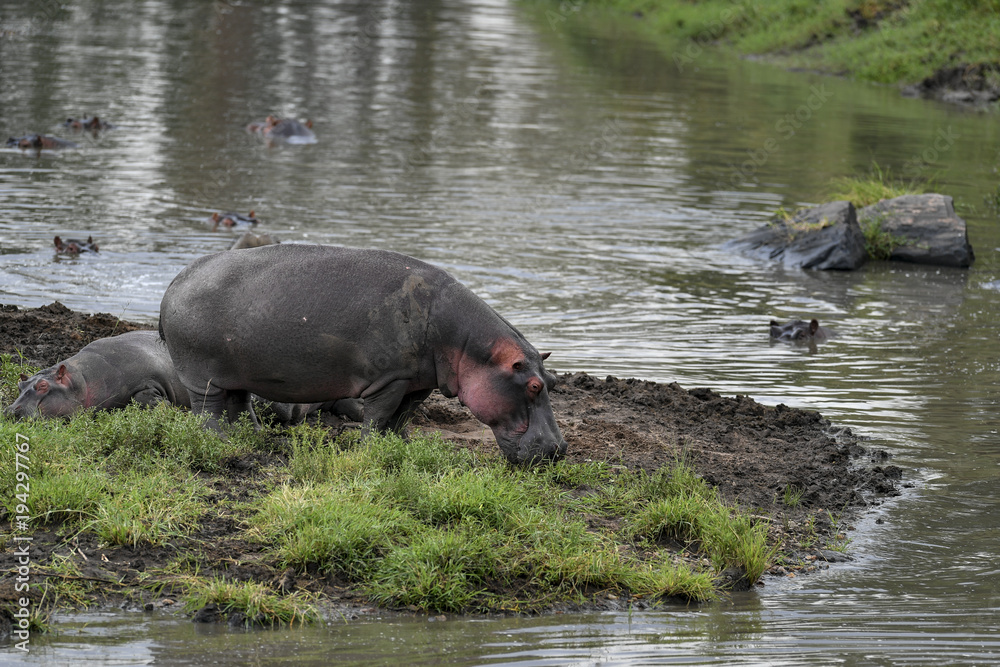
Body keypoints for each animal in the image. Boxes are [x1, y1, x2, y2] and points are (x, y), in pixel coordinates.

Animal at [159, 244, 567, 464]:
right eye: (533, 386)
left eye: (550, 380)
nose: (560, 449)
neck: (467, 344)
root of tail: (174, 282)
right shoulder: (388, 379)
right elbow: (380, 415)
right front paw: (370, 447)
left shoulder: (417, 381)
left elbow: (404, 416)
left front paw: (403, 446)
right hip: (202, 374)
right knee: (207, 409)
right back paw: (221, 441)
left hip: (239, 370)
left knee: (240, 403)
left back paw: (255, 438)